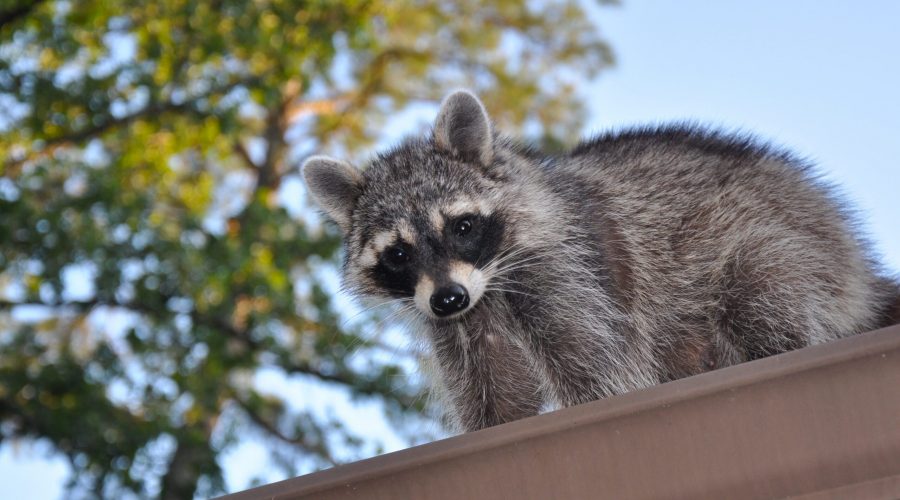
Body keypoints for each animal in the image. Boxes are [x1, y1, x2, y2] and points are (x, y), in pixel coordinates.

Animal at [302, 90, 900, 432]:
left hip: (789, 245)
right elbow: (497, 397)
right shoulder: (463, 323)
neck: (490, 280)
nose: (448, 298)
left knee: (762, 293)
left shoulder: (571, 270)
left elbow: (600, 370)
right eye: (398, 253)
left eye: (462, 227)